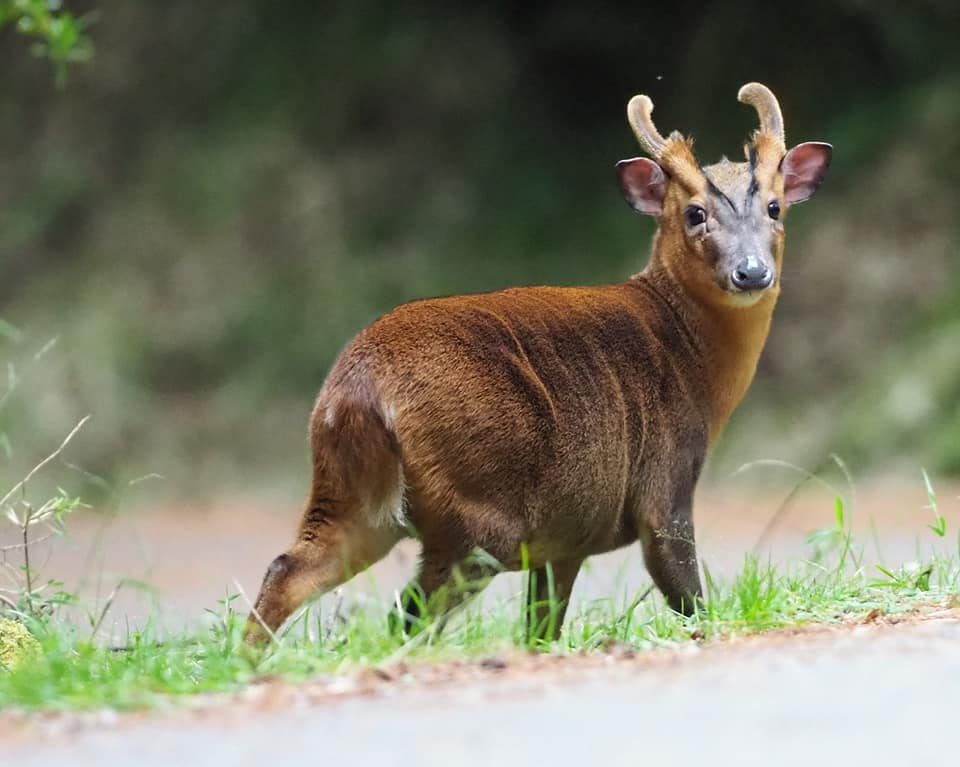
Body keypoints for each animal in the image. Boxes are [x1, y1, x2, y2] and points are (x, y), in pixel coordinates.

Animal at [243, 82, 831, 645]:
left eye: (775, 207)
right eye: (695, 213)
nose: (751, 272)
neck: (691, 357)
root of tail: (356, 394)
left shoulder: (567, 536)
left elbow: (542, 627)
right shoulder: (665, 485)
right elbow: (686, 593)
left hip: (349, 498)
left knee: (288, 569)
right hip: (478, 511)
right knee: (406, 613)